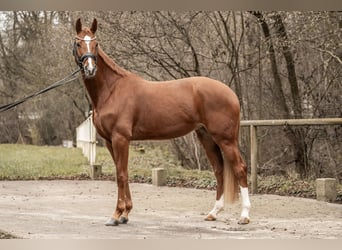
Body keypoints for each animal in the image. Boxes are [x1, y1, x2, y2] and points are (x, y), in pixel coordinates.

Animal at [74, 18, 251, 227]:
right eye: (78, 43)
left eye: (96, 44)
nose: (90, 69)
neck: (112, 90)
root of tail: (231, 93)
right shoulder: (110, 141)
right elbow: (122, 172)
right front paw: (126, 214)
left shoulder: (120, 139)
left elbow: (121, 175)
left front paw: (116, 215)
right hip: (206, 137)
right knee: (219, 170)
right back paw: (213, 212)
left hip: (226, 139)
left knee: (240, 169)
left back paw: (244, 216)